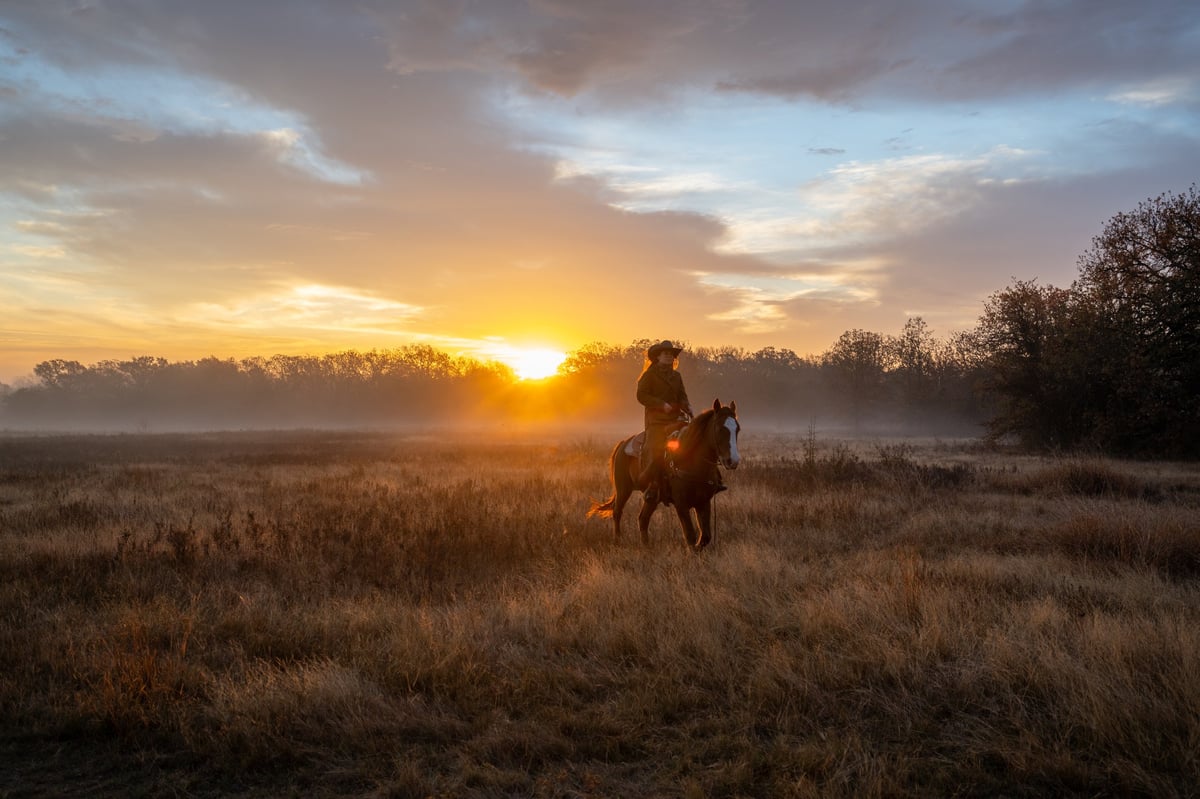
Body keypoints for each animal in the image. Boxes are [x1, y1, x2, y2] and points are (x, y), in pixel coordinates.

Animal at [588, 399, 740, 551]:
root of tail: (623, 444)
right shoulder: (681, 504)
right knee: (617, 512)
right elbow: (690, 536)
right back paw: (618, 540)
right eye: (720, 429)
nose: (733, 461)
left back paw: (646, 547)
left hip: (652, 498)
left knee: (643, 519)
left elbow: (705, 537)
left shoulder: (703, 502)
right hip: (623, 489)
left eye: (737, 429)